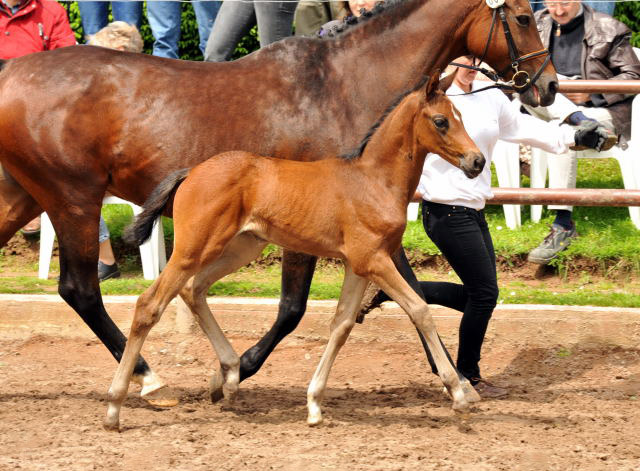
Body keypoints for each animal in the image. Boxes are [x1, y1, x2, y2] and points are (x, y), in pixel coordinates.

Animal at [105, 75, 484, 434]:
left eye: (461, 116)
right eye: (441, 121)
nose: (477, 161)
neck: (374, 181)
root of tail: (191, 172)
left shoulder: (358, 265)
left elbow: (342, 323)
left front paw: (314, 404)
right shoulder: (373, 260)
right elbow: (419, 309)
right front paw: (459, 395)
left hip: (240, 247)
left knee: (193, 288)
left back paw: (230, 374)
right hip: (193, 248)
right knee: (150, 305)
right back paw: (115, 407)